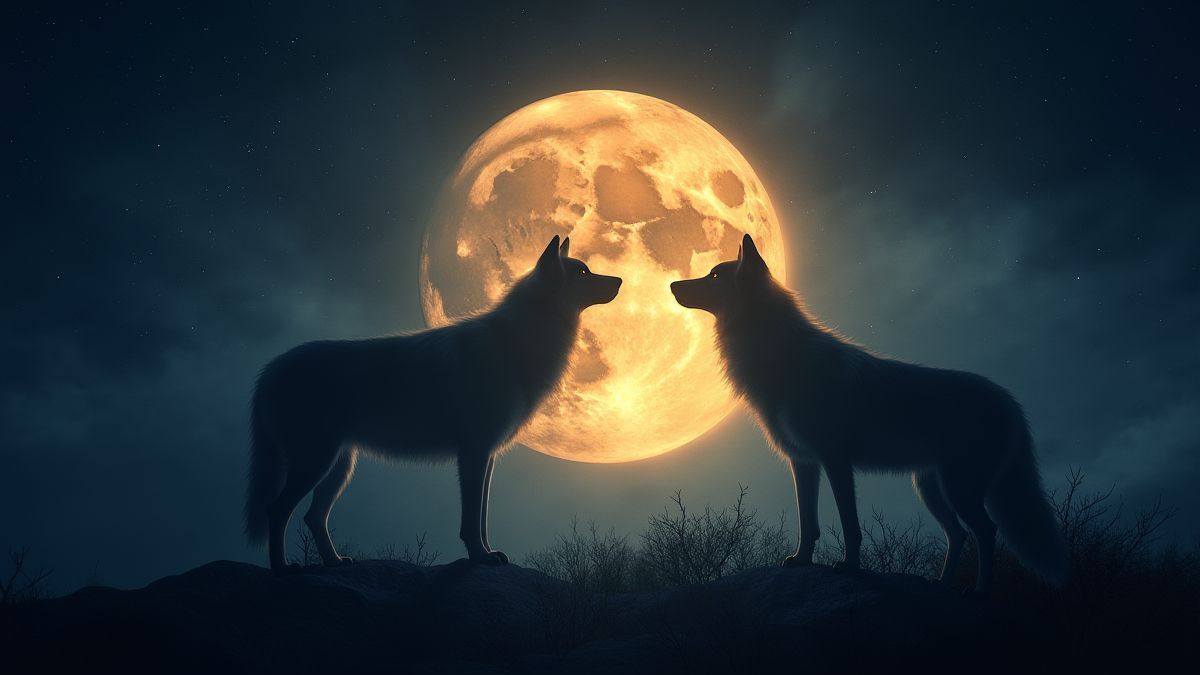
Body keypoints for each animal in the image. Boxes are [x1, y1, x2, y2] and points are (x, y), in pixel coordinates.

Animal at [245, 236, 621, 573]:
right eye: (583, 272)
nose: (619, 280)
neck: (516, 343)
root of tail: (271, 368)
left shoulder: (486, 455)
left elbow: (482, 517)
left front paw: (488, 553)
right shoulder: (473, 452)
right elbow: (470, 520)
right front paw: (479, 557)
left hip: (338, 467)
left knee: (312, 517)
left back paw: (334, 562)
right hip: (316, 464)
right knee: (276, 510)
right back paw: (282, 568)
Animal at [671, 234, 1067, 594]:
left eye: (714, 275)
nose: (672, 284)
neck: (779, 357)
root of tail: (1009, 399)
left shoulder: (835, 461)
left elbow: (850, 525)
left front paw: (849, 567)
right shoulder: (803, 463)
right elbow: (807, 523)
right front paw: (802, 560)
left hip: (959, 489)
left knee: (986, 531)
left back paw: (980, 592)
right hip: (930, 488)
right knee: (958, 534)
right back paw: (941, 583)